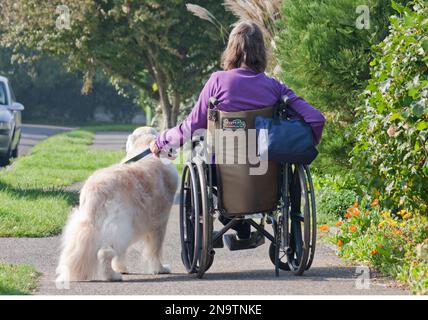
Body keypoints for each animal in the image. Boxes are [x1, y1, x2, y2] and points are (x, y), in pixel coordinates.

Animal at [55, 126, 179, 282]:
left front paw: (122, 267)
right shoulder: (159, 221)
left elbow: (122, 253)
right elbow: (155, 249)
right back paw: (112, 276)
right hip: (118, 224)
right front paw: (160, 269)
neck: (143, 147)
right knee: (105, 252)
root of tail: (95, 188)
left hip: (88, 223)